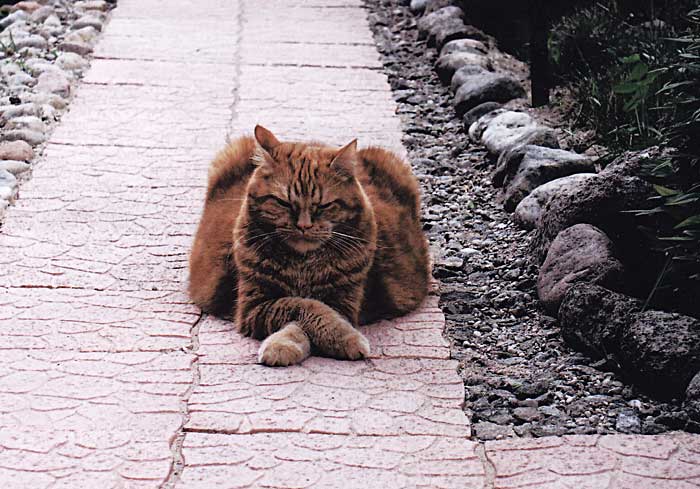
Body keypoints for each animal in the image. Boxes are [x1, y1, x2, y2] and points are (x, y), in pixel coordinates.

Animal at [189, 127, 430, 366]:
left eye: (324, 206)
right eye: (283, 203)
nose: (304, 226)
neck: (303, 265)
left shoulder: (342, 302)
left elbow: (309, 318)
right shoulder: (254, 306)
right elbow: (305, 307)